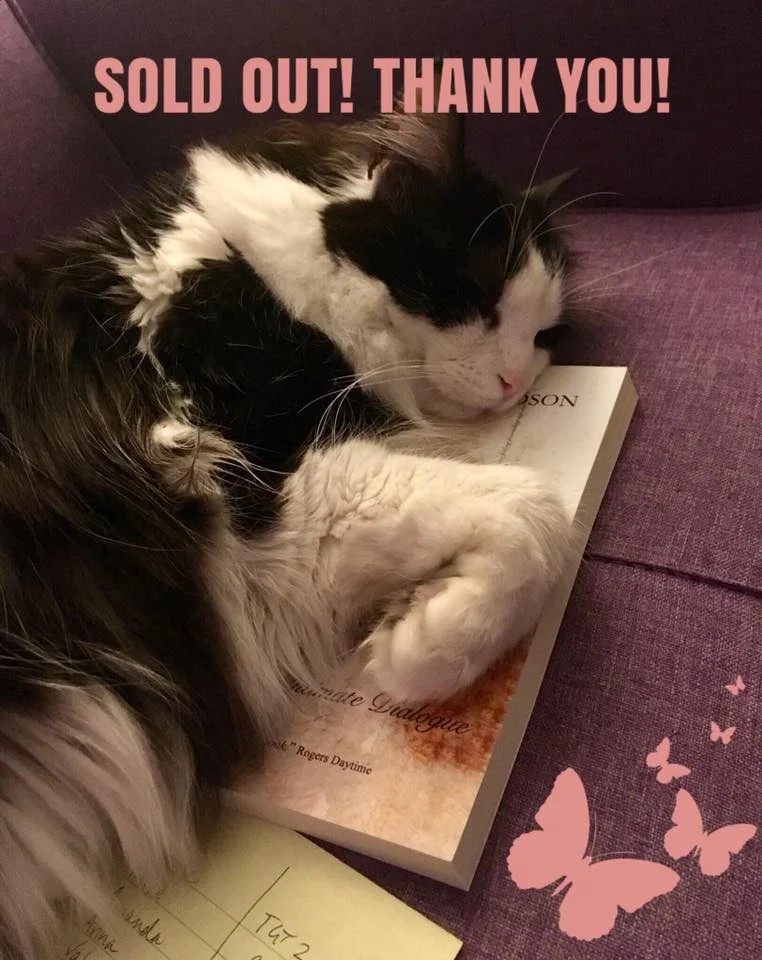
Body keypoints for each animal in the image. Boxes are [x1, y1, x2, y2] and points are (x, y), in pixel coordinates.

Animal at [0, 94, 575, 958]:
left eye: (543, 336)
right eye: (480, 290)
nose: (514, 382)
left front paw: (421, 625)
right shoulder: (250, 519)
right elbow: (539, 515)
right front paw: (423, 651)